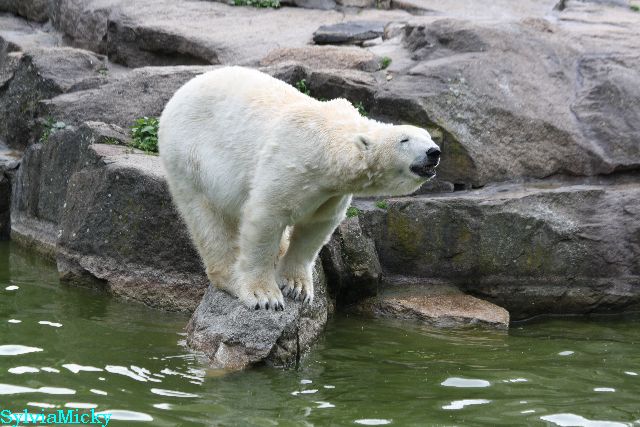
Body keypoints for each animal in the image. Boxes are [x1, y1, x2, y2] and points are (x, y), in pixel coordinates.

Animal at [158, 66, 440, 310]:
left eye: (428, 137)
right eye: (404, 140)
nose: (434, 152)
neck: (327, 146)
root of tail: (180, 92)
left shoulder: (331, 193)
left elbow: (316, 228)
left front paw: (296, 286)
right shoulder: (289, 162)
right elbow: (265, 218)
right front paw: (264, 296)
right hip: (189, 159)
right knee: (206, 219)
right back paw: (230, 276)